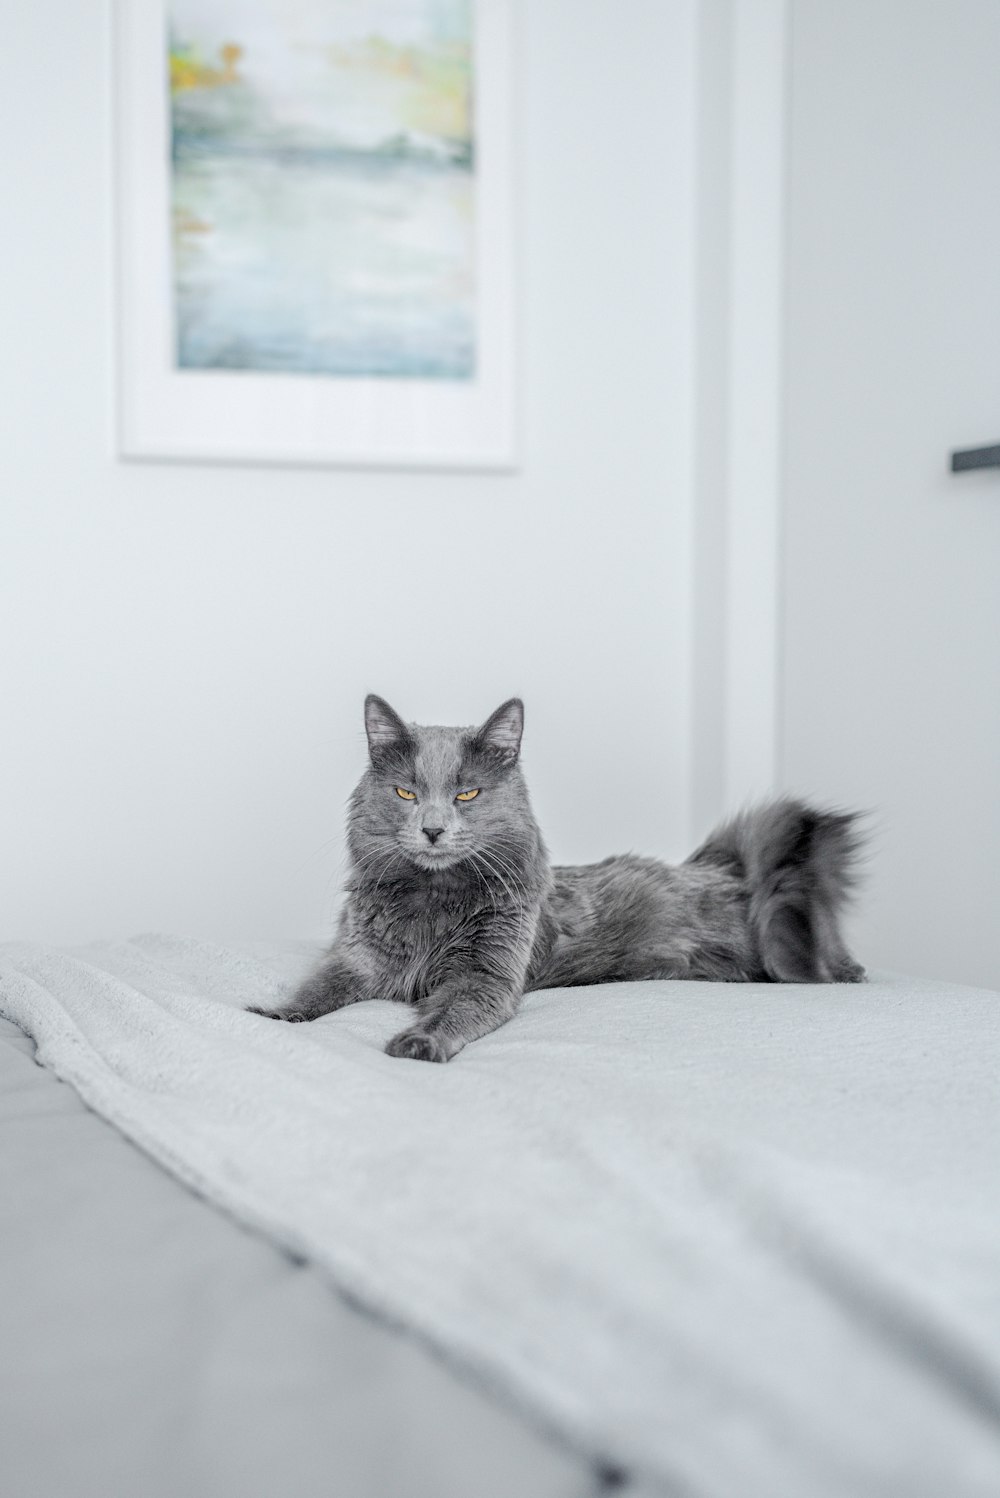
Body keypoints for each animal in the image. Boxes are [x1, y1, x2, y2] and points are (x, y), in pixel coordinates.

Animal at [249, 695, 868, 1060]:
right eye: (406, 792)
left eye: (467, 794)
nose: (432, 829)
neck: (433, 899)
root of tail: (719, 867)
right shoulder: (358, 957)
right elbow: (317, 987)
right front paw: (274, 1013)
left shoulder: (487, 974)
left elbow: (455, 1009)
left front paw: (418, 1041)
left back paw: (847, 971)